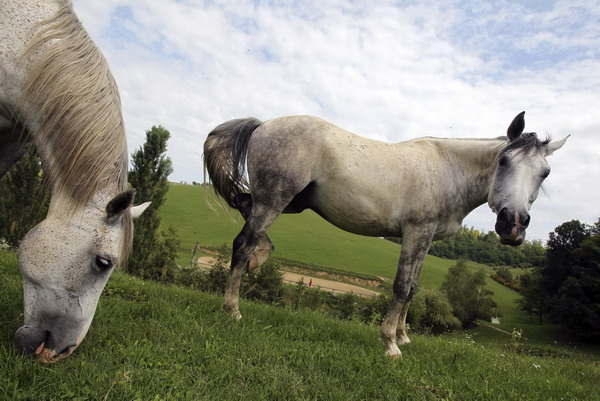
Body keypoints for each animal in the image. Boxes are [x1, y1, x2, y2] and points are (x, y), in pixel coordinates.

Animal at [205, 110, 568, 356]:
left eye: (545, 173)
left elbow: (413, 288)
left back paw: (261, 256)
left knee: (243, 206)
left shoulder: (426, 240)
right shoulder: (416, 233)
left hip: (290, 201)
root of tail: (263, 124)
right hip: (276, 199)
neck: (449, 170)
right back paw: (232, 308)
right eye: (504, 161)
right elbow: (401, 286)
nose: (513, 224)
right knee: (243, 242)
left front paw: (404, 335)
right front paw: (391, 343)